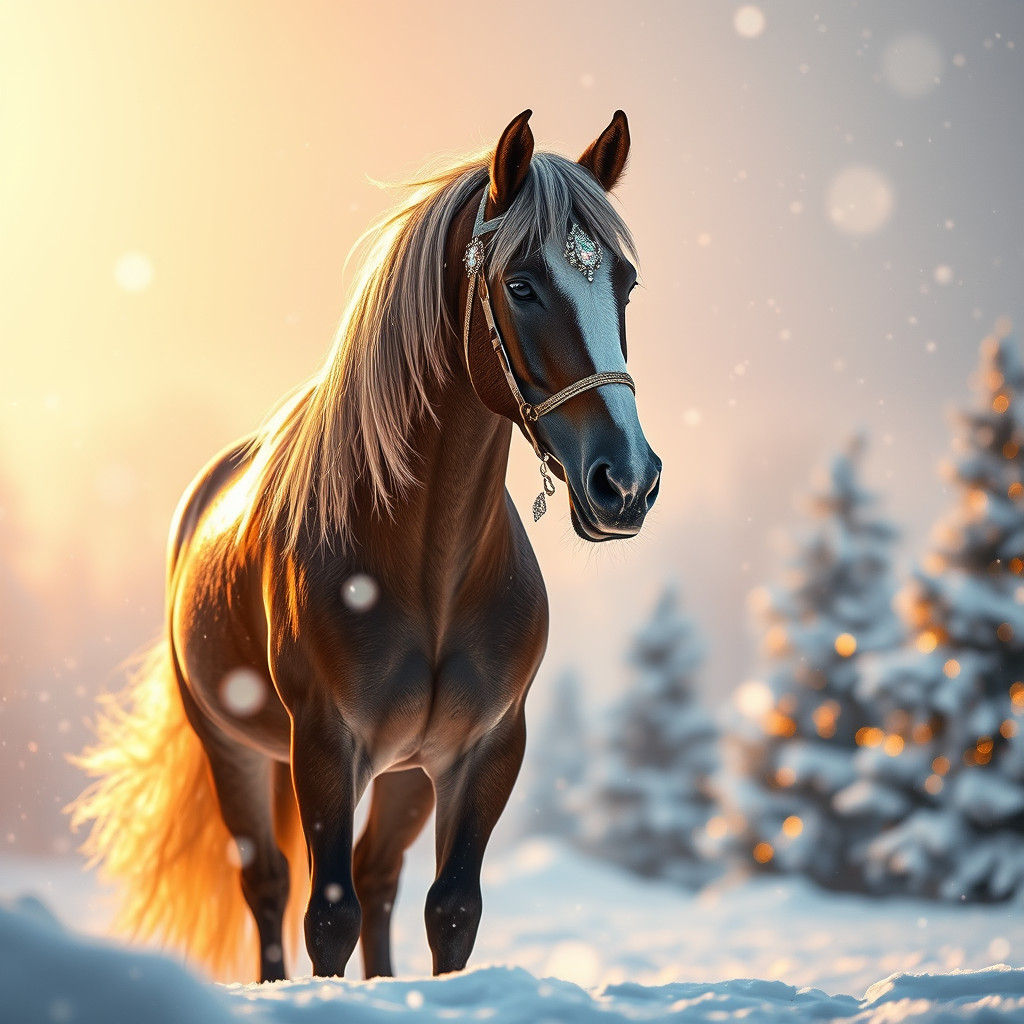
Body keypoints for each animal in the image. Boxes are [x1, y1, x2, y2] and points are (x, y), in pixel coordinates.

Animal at [71, 109, 661, 983]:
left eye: (623, 283)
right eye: (521, 284)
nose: (626, 481)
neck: (431, 571)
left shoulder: (485, 750)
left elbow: (451, 911)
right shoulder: (324, 745)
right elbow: (328, 917)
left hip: (405, 774)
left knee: (379, 879)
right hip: (236, 751)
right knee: (270, 885)